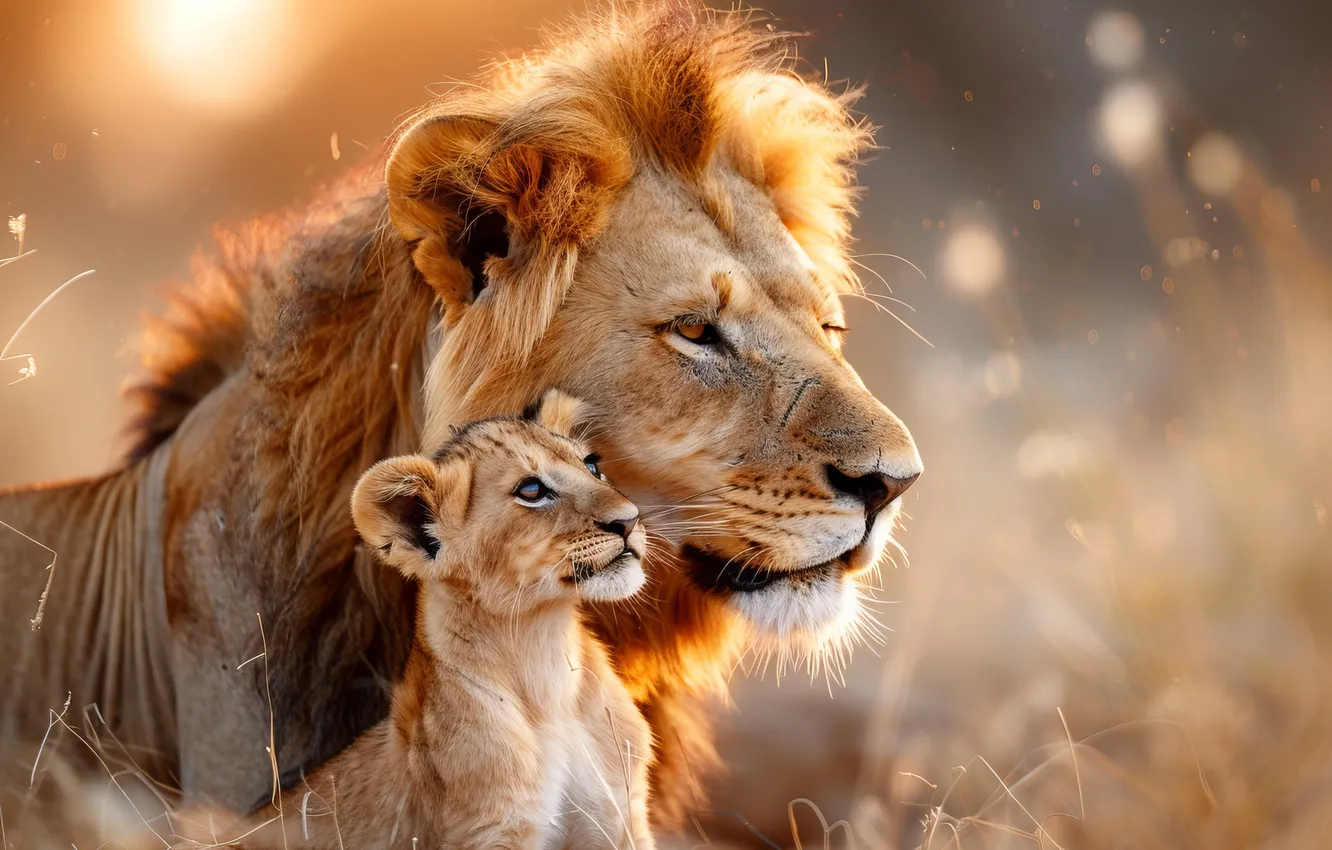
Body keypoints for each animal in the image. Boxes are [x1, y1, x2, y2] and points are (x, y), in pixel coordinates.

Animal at [176, 392, 655, 849]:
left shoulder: (619, 815)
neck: (545, 657)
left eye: (592, 465)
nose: (629, 520)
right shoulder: (491, 828)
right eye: (532, 490)